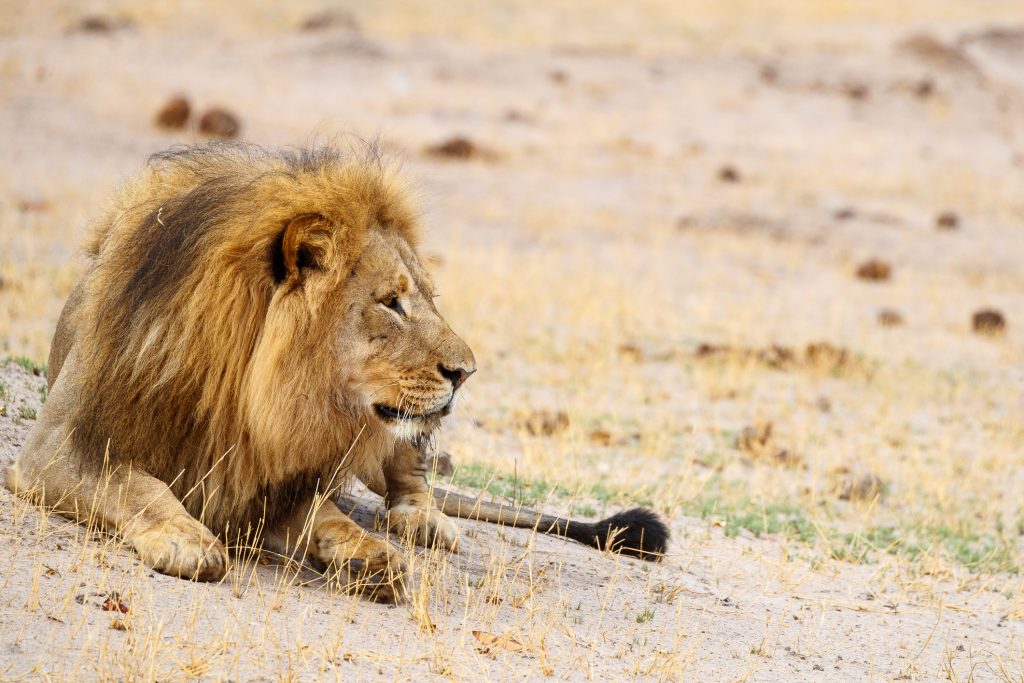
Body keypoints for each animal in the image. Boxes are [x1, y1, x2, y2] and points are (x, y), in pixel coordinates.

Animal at [5, 143, 668, 602]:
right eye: (391, 302)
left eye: (428, 298)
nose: (467, 371)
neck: (242, 391)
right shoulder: (58, 447)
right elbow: (136, 485)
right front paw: (188, 539)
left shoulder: (273, 480)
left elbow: (327, 515)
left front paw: (370, 556)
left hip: (401, 432)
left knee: (412, 480)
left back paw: (424, 523)